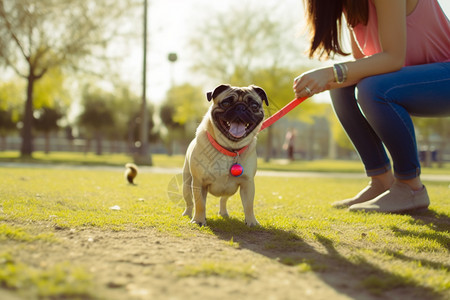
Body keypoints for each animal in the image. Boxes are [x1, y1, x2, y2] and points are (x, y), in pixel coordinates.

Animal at [182, 84, 268, 225]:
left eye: (254, 105)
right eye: (226, 103)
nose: (240, 107)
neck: (229, 148)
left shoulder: (248, 183)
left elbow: (249, 205)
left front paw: (251, 222)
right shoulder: (199, 182)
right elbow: (200, 204)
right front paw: (199, 220)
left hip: (229, 190)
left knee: (223, 199)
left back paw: (223, 213)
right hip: (187, 184)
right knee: (190, 202)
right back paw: (188, 214)